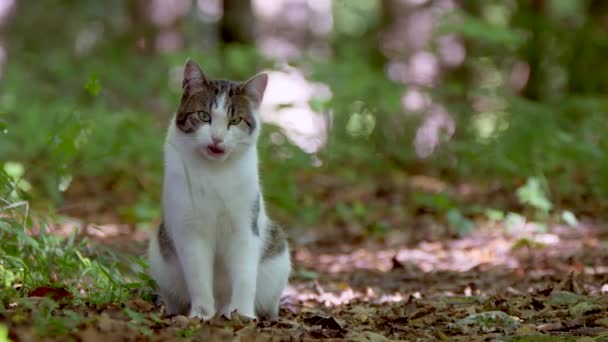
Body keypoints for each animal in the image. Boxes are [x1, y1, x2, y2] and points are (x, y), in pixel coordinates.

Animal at [146, 58, 290, 320]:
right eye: (204, 116)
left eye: (235, 121)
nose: (216, 138)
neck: (215, 173)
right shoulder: (189, 229)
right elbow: (198, 277)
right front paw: (201, 314)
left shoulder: (245, 227)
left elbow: (244, 277)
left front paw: (242, 314)